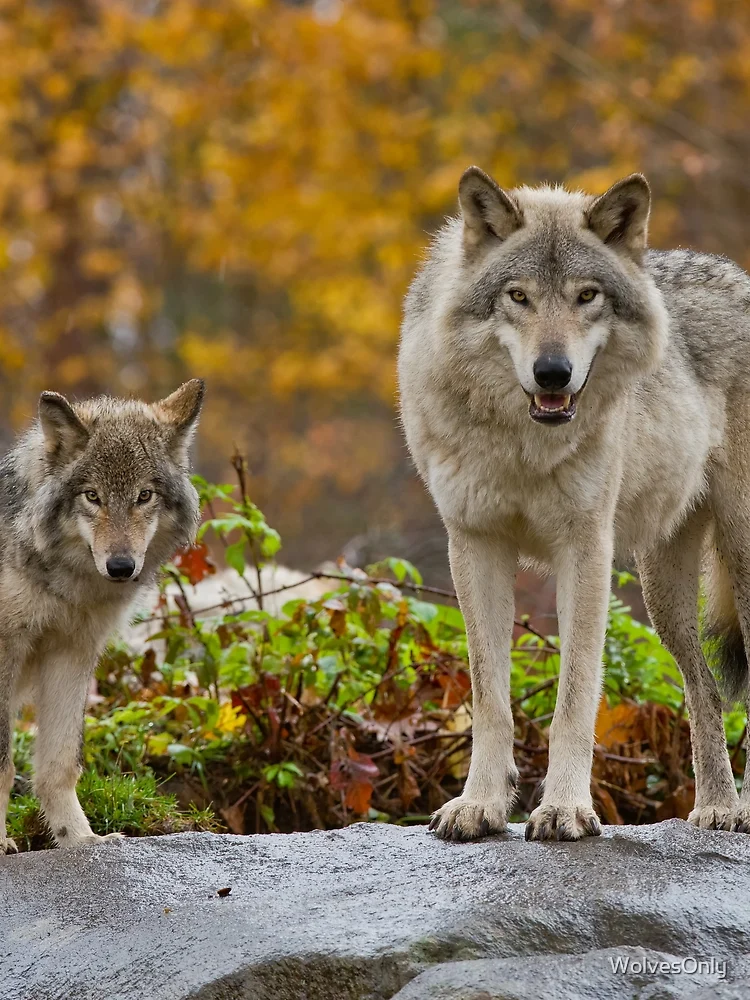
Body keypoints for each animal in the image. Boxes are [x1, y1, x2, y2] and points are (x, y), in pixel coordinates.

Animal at [0, 379, 204, 853]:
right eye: (92, 496)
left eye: (144, 495)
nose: (120, 566)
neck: (63, 582)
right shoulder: (6, 647)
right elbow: (2, 765)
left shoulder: (72, 650)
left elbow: (60, 764)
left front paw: (79, 839)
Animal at [399, 166, 750, 841]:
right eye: (518, 297)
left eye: (587, 296)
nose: (553, 372)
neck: (523, 445)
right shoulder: (474, 544)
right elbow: (489, 697)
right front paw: (481, 804)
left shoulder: (584, 549)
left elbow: (575, 696)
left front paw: (564, 808)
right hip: (663, 594)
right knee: (706, 689)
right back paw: (718, 807)